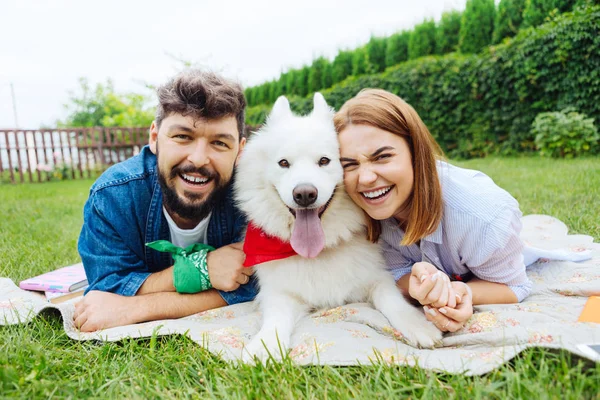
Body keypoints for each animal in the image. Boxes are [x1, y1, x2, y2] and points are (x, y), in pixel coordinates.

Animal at [234, 94, 440, 362]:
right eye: (283, 163)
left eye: (324, 161)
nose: (304, 194)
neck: (318, 252)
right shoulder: (279, 294)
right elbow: (276, 319)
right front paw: (264, 345)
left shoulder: (378, 278)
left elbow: (392, 300)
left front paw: (417, 325)